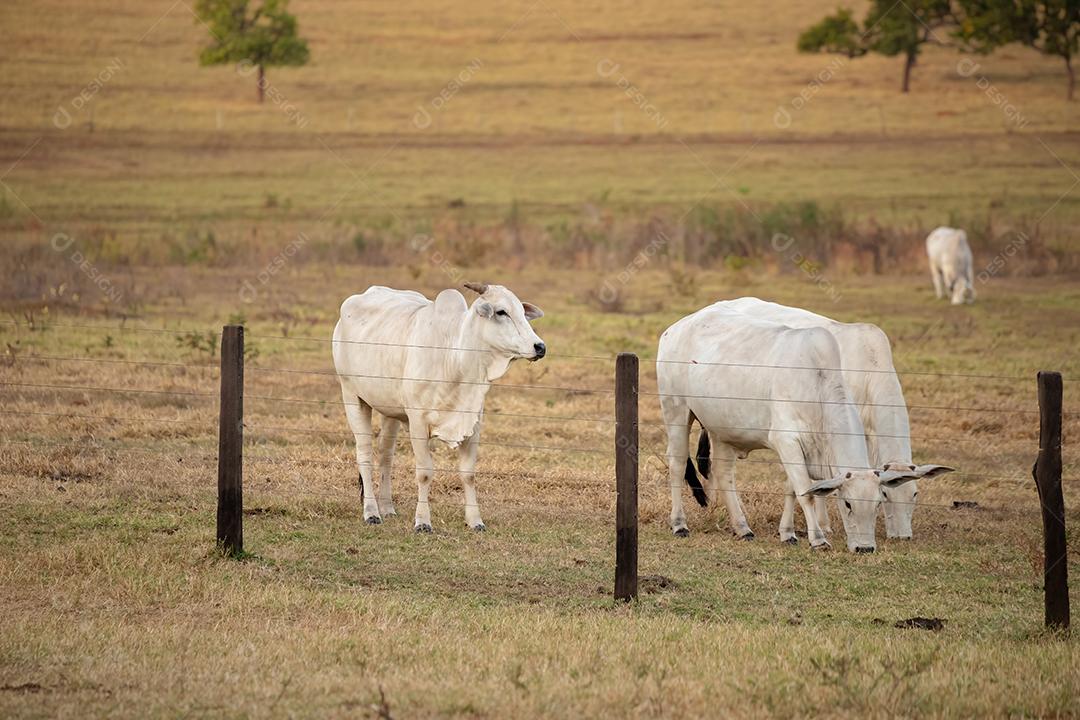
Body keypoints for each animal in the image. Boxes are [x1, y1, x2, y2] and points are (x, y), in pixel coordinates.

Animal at [332, 282, 545, 532]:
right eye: (502, 312)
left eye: (522, 311)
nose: (540, 347)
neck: (453, 358)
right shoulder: (417, 423)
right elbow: (425, 473)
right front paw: (423, 521)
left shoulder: (473, 422)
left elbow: (468, 474)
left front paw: (475, 521)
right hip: (352, 395)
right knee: (364, 453)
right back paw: (371, 512)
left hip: (390, 410)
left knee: (386, 454)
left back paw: (387, 507)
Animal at [657, 302, 926, 553]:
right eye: (847, 503)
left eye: (878, 501)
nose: (865, 548)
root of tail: (677, 327)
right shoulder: (787, 442)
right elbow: (806, 493)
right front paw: (819, 538)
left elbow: (794, 490)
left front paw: (788, 533)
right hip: (677, 410)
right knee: (677, 464)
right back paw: (680, 524)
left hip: (722, 429)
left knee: (724, 474)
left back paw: (743, 527)